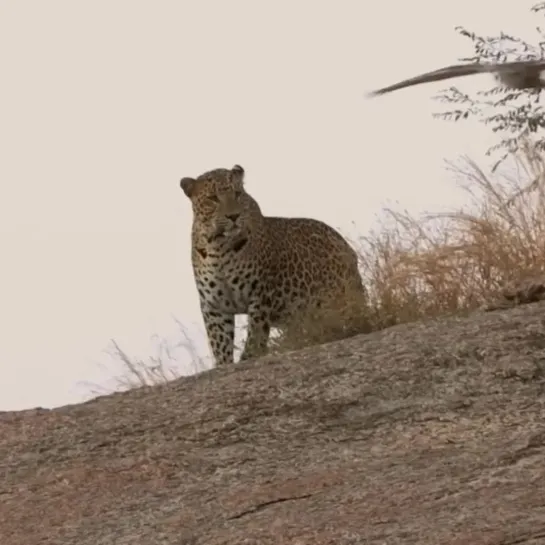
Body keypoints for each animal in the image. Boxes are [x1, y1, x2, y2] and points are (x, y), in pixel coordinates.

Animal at [181, 163, 368, 366]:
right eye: (213, 199)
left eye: (237, 194)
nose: (234, 216)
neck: (219, 247)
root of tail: (347, 248)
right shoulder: (214, 306)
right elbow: (220, 343)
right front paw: (224, 364)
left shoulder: (260, 295)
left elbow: (255, 334)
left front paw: (249, 357)